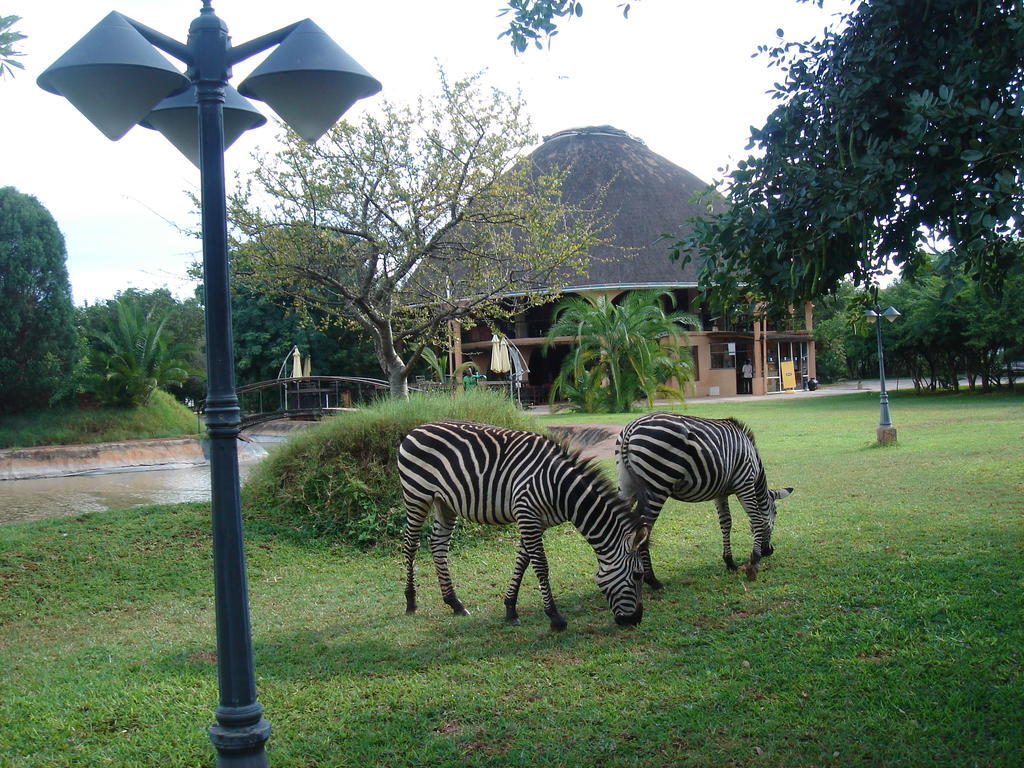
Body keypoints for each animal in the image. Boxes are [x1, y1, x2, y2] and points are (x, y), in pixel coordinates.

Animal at [399, 421, 647, 630]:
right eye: (637, 575)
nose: (635, 620)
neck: (561, 489)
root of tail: (416, 429)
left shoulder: (535, 520)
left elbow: (523, 561)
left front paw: (510, 609)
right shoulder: (527, 514)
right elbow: (541, 566)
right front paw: (555, 618)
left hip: (445, 503)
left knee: (438, 545)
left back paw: (454, 603)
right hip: (417, 495)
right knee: (411, 544)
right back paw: (411, 601)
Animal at [614, 415, 790, 581]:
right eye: (776, 514)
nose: (769, 551)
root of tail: (631, 428)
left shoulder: (721, 493)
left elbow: (726, 523)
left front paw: (730, 562)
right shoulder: (745, 482)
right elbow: (757, 519)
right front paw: (754, 561)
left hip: (626, 484)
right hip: (656, 485)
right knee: (644, 528)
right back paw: (652, 579)